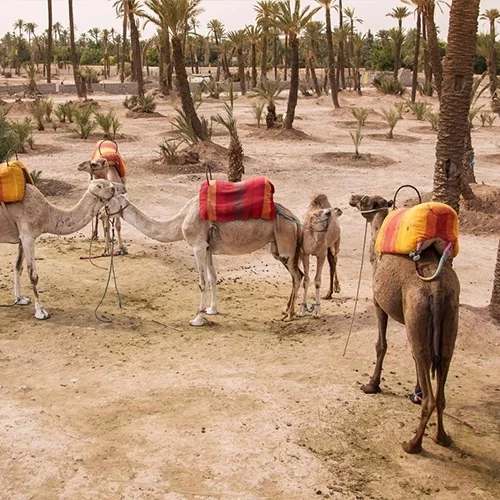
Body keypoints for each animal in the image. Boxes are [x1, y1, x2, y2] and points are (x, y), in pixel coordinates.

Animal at [0, 180, 120, 320]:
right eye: (101, 186)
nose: (117, 188)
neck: (46, 214)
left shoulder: (22, 237)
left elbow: (18, 267)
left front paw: (19, 299)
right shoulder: (28, 236)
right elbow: (33, 275)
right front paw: (40, 312)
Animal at [104, 193, 304, 326]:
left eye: (110, 201)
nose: (102, 212)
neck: (181, 221)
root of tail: (296, 219)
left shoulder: (198, 247)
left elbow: (201, 282)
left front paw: (197, 319)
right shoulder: (207, 248)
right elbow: (212, 278)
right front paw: (212, 310)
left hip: (286, 243)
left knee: (297, 275)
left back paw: (290, 315)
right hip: (278, 247)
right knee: (298, 275)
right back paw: (286, 310)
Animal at [348, 193, 460, 456]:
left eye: (365, 200)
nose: (352, 197)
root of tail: (437, 289)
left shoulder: (378, 302)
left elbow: (381, 344)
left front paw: (371, 385)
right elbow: (414, 358)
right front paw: (415, 391)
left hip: (418, 308)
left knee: (427, 377)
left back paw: (413, 444)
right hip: (449, 313)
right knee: (439, 369)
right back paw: (442, 437)